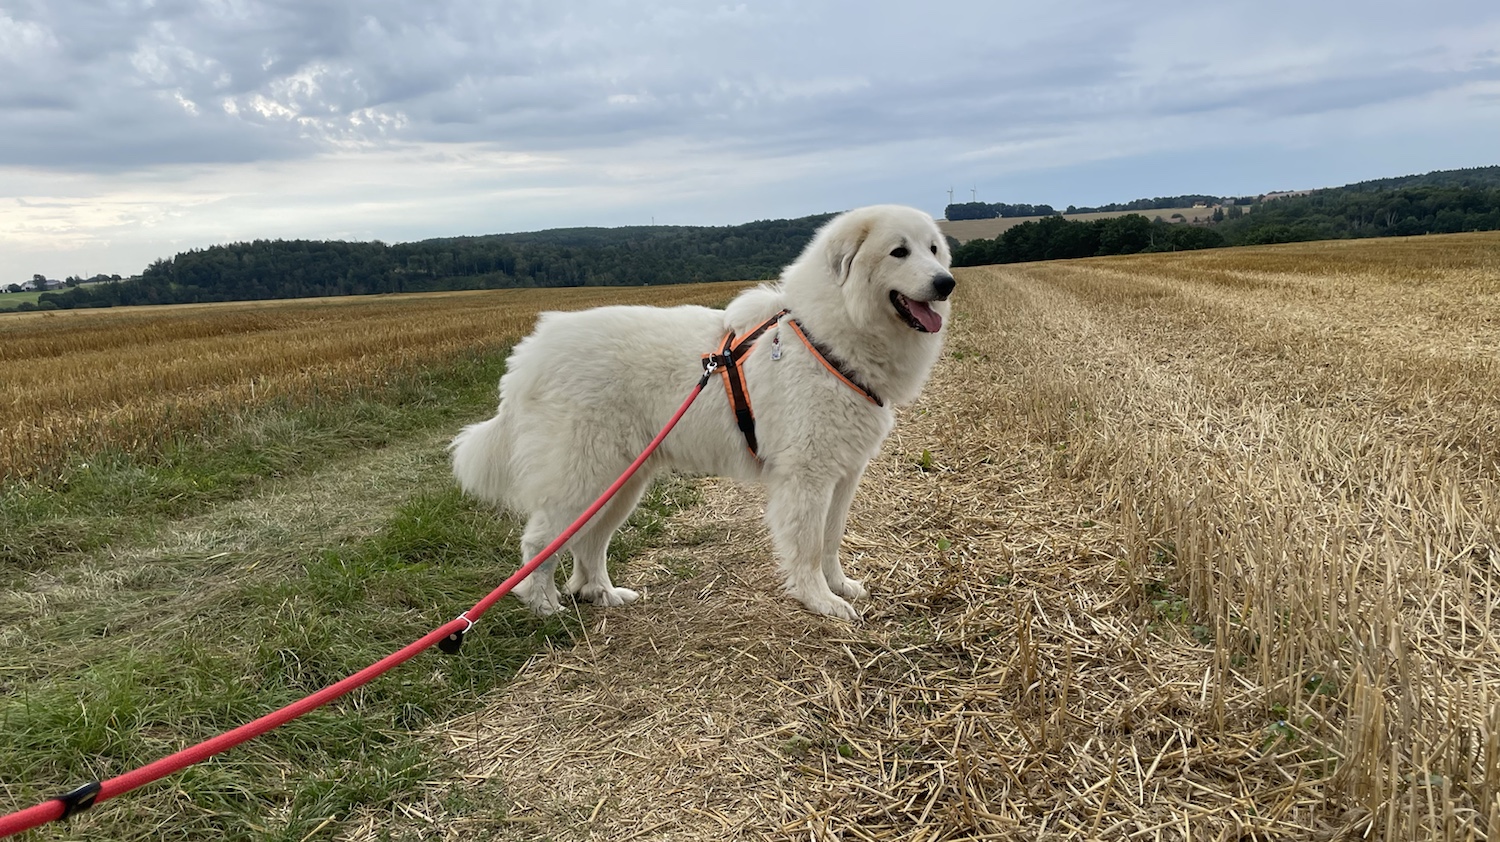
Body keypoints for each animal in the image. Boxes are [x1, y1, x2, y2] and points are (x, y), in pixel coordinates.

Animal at [450, 205, 954, 620]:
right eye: (898, 252)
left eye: (933, 249)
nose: (946, 283)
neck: (827, 336)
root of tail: (530, 355)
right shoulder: (806, 478)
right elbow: (808, 546)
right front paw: (819, 601)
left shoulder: (843, 475)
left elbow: (830, 542)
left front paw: (839, 586)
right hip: (582, 479)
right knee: (540, 542)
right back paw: (545, 606)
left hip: (620, 484)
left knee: (590, 545)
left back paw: (603, 594)